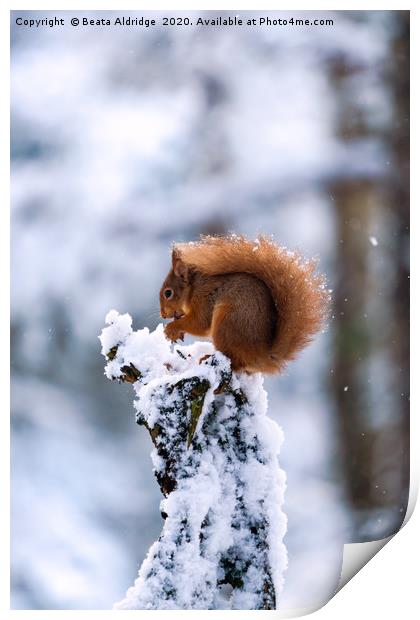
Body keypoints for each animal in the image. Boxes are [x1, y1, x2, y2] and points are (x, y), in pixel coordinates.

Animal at [159, 235, 330, 372]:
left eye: (168, 293)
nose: (163, 315)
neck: (193, 288)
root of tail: (262, 356)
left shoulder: (204, 299)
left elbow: (200, 323)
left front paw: (172, 328)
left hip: (228, 323)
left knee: (234, 362)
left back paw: (207, 357)